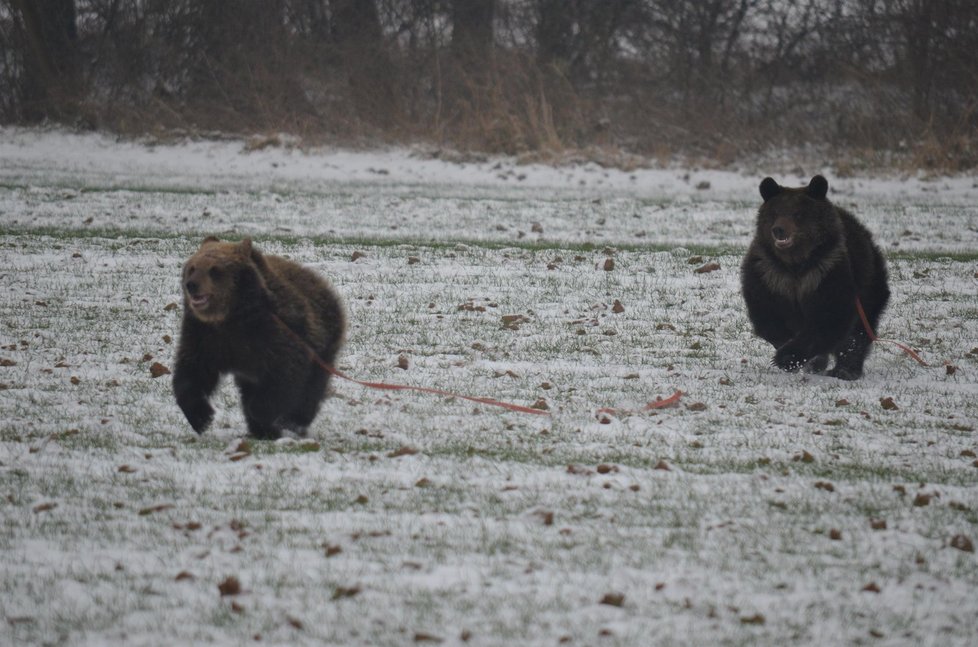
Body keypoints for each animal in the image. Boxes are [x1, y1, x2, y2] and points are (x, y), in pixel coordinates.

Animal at [173, 238, 346, 440]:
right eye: (192, 268)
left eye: (214, 270)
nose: (191, 285)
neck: (230, 315)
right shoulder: (204, 334)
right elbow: (192, 372)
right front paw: (201, 417)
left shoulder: (273, 332)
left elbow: (285, 372)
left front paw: (264, 415)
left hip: (324, 342)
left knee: (311, 389)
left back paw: (294, 422)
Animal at [740, 175, 892, 382]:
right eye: (775, 212)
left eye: (797, 213)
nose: (779, 229)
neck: (795, 265)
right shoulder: (769, 275)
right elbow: (768, 317)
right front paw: (794, 354)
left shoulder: (826, 272)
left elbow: (828, 317)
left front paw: (789, 357)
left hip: (869, 280)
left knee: (859, 330)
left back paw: (846, 369)